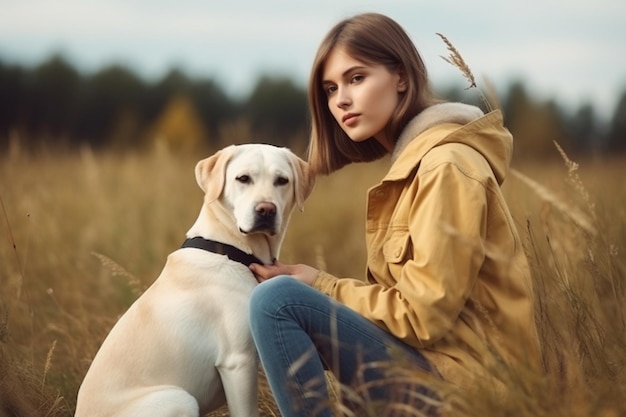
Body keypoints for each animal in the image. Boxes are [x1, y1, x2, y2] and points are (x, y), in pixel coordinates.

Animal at [75, 143, 314, 416]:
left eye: (282, 180)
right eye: (243, 178)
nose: (266, 209)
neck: (230, 250)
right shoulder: (238, 361)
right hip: (181, 398)